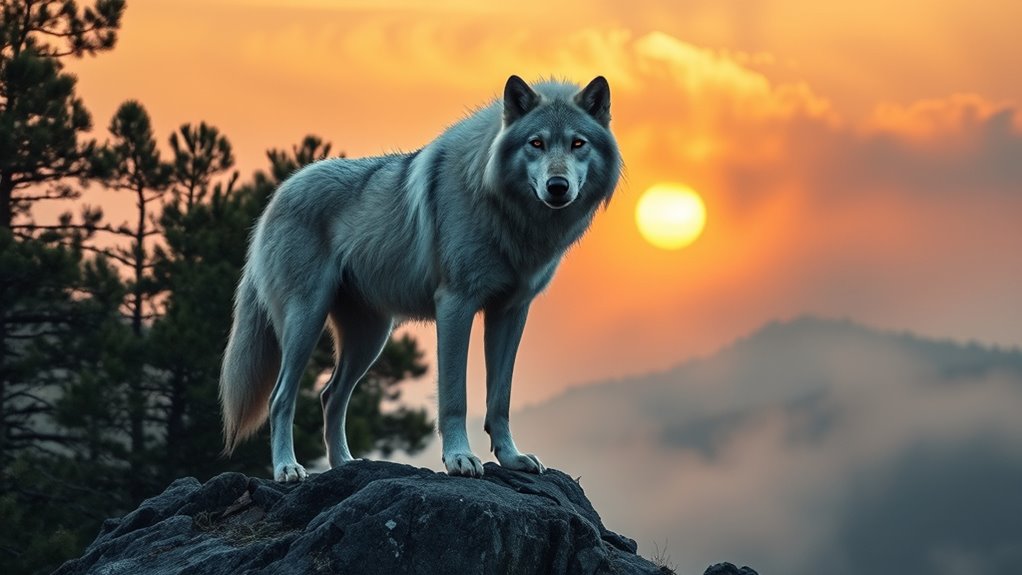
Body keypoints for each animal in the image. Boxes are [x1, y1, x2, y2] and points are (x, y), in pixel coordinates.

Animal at [219, 75, 621, 482]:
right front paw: (460, 458)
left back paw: (345, 464)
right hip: (307, 321)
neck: (502, 207)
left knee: (330, 394)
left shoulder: (510, 312)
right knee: (281, 397)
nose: (558, 186)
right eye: (536, 143)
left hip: (369, 338)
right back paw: (288, 468)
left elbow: (500, 400)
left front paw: (511, 458)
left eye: (577, 144)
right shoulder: (455, 305)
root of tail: (279, 193)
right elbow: (454, 398)